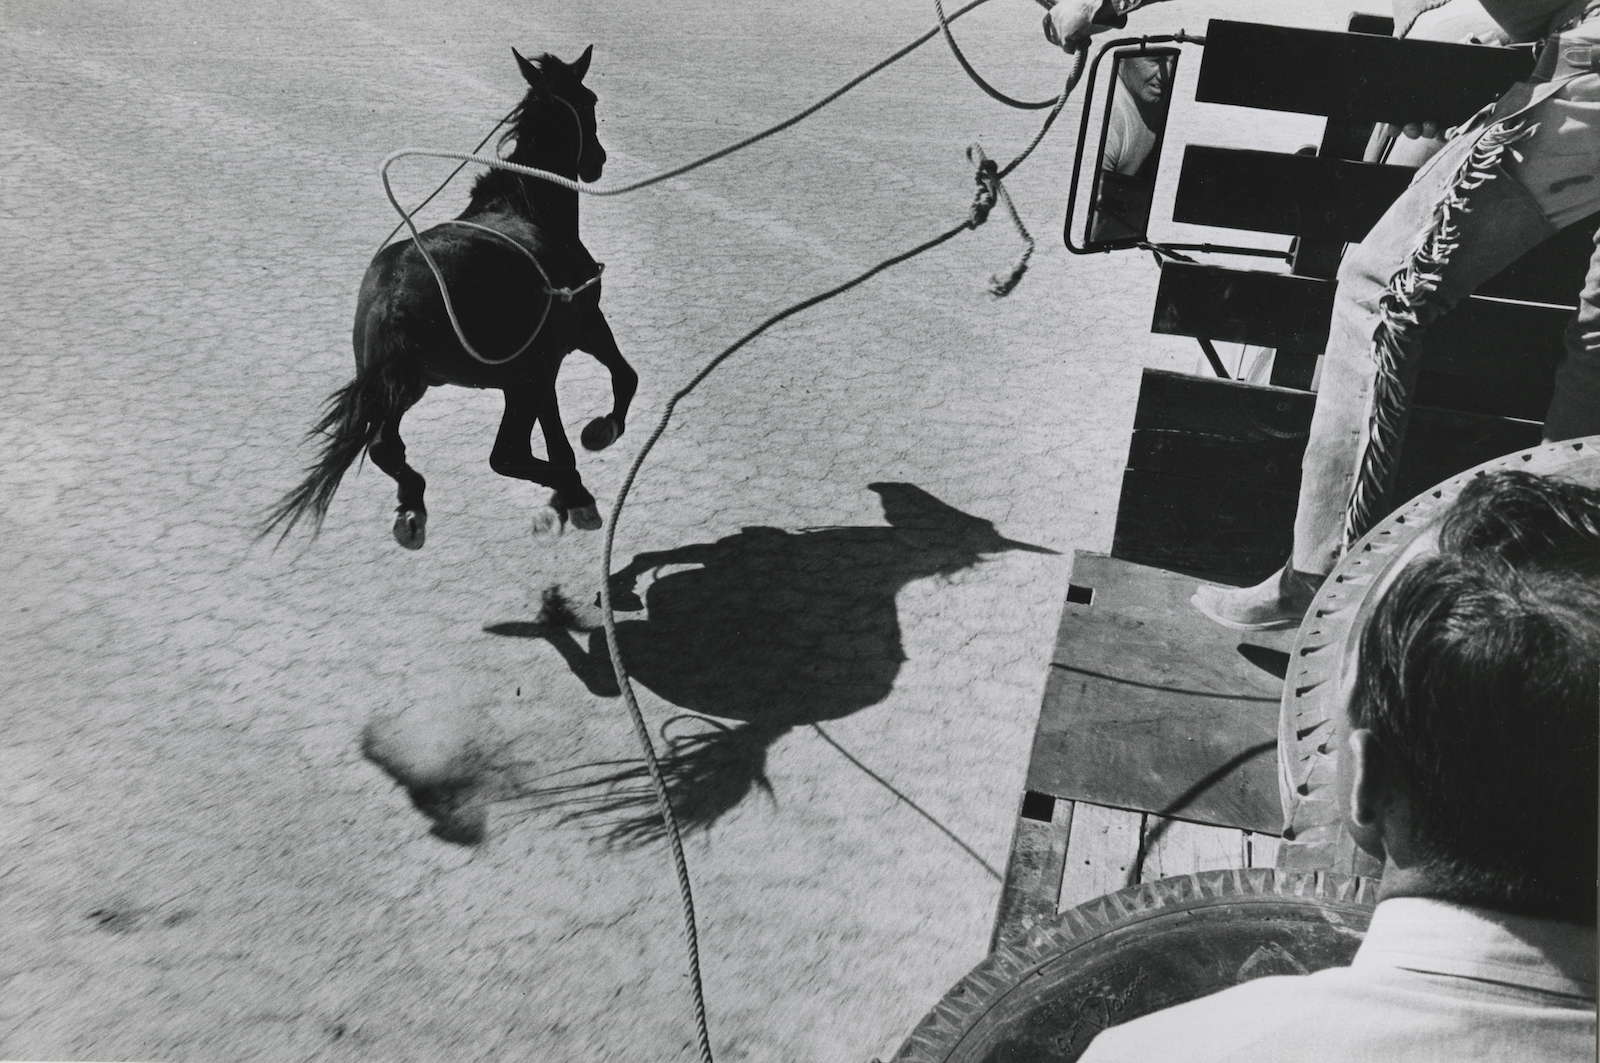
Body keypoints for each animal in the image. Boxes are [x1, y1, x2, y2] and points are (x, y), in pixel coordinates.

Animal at [265, 46, 633, 547]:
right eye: (590, 99)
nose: (597, 160)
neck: (526, 206)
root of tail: (395, 300)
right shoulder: (580, 334)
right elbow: (623, 378)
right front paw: (599, 435)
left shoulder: (542, 367)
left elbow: (558, 433)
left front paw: (566, 492)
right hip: (515, 379)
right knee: (506, 454)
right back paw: (572, 492)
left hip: (414, 383)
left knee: (387, 447)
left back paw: (413, 508)